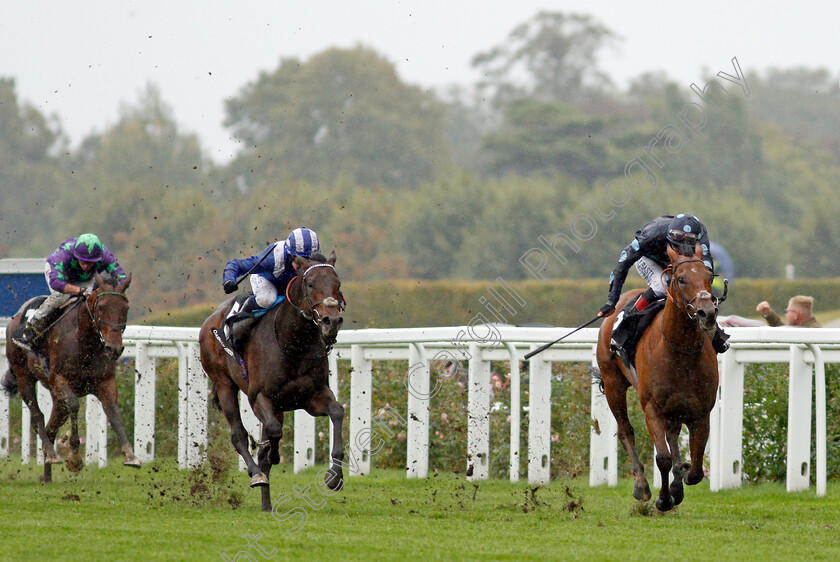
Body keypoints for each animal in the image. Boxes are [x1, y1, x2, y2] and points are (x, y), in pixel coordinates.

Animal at [4, 272, 139, 482]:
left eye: (125, 307)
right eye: (101, 307)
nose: (114, 348)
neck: (84, 341)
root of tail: (15, 319)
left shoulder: (106, 382)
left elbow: (113, 412)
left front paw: (130, 454)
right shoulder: (60, 379)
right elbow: (75, 405)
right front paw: (74, 458)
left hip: (56, 396)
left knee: (51, 427)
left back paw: (48, 473)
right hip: (24, 376)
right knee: (37, 416)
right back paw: (52, 454)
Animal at [200, 248, 344, 508]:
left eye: (337, 284)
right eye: (310, 283)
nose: (332, 321)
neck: (293, 342)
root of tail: (211, 318)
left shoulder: (312, 397)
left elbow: (337, 411)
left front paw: (334, 476)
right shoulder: (259, 397)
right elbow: (274, 431)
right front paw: (270, 455)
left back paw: (266, 505)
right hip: (223, 383)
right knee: (238, 434)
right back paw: (257, 473)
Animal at [592, 243, 720, 510]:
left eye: (709, 276)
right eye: (681, 279)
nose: (707, 313)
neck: (679, 350)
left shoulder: (701, 412)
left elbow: (696, 468)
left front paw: (679, 479)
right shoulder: (652, 407)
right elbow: (662, 458)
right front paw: (663, 498)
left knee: (673, 435)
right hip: (613, 385)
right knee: (626, 431)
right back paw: (642, 486)